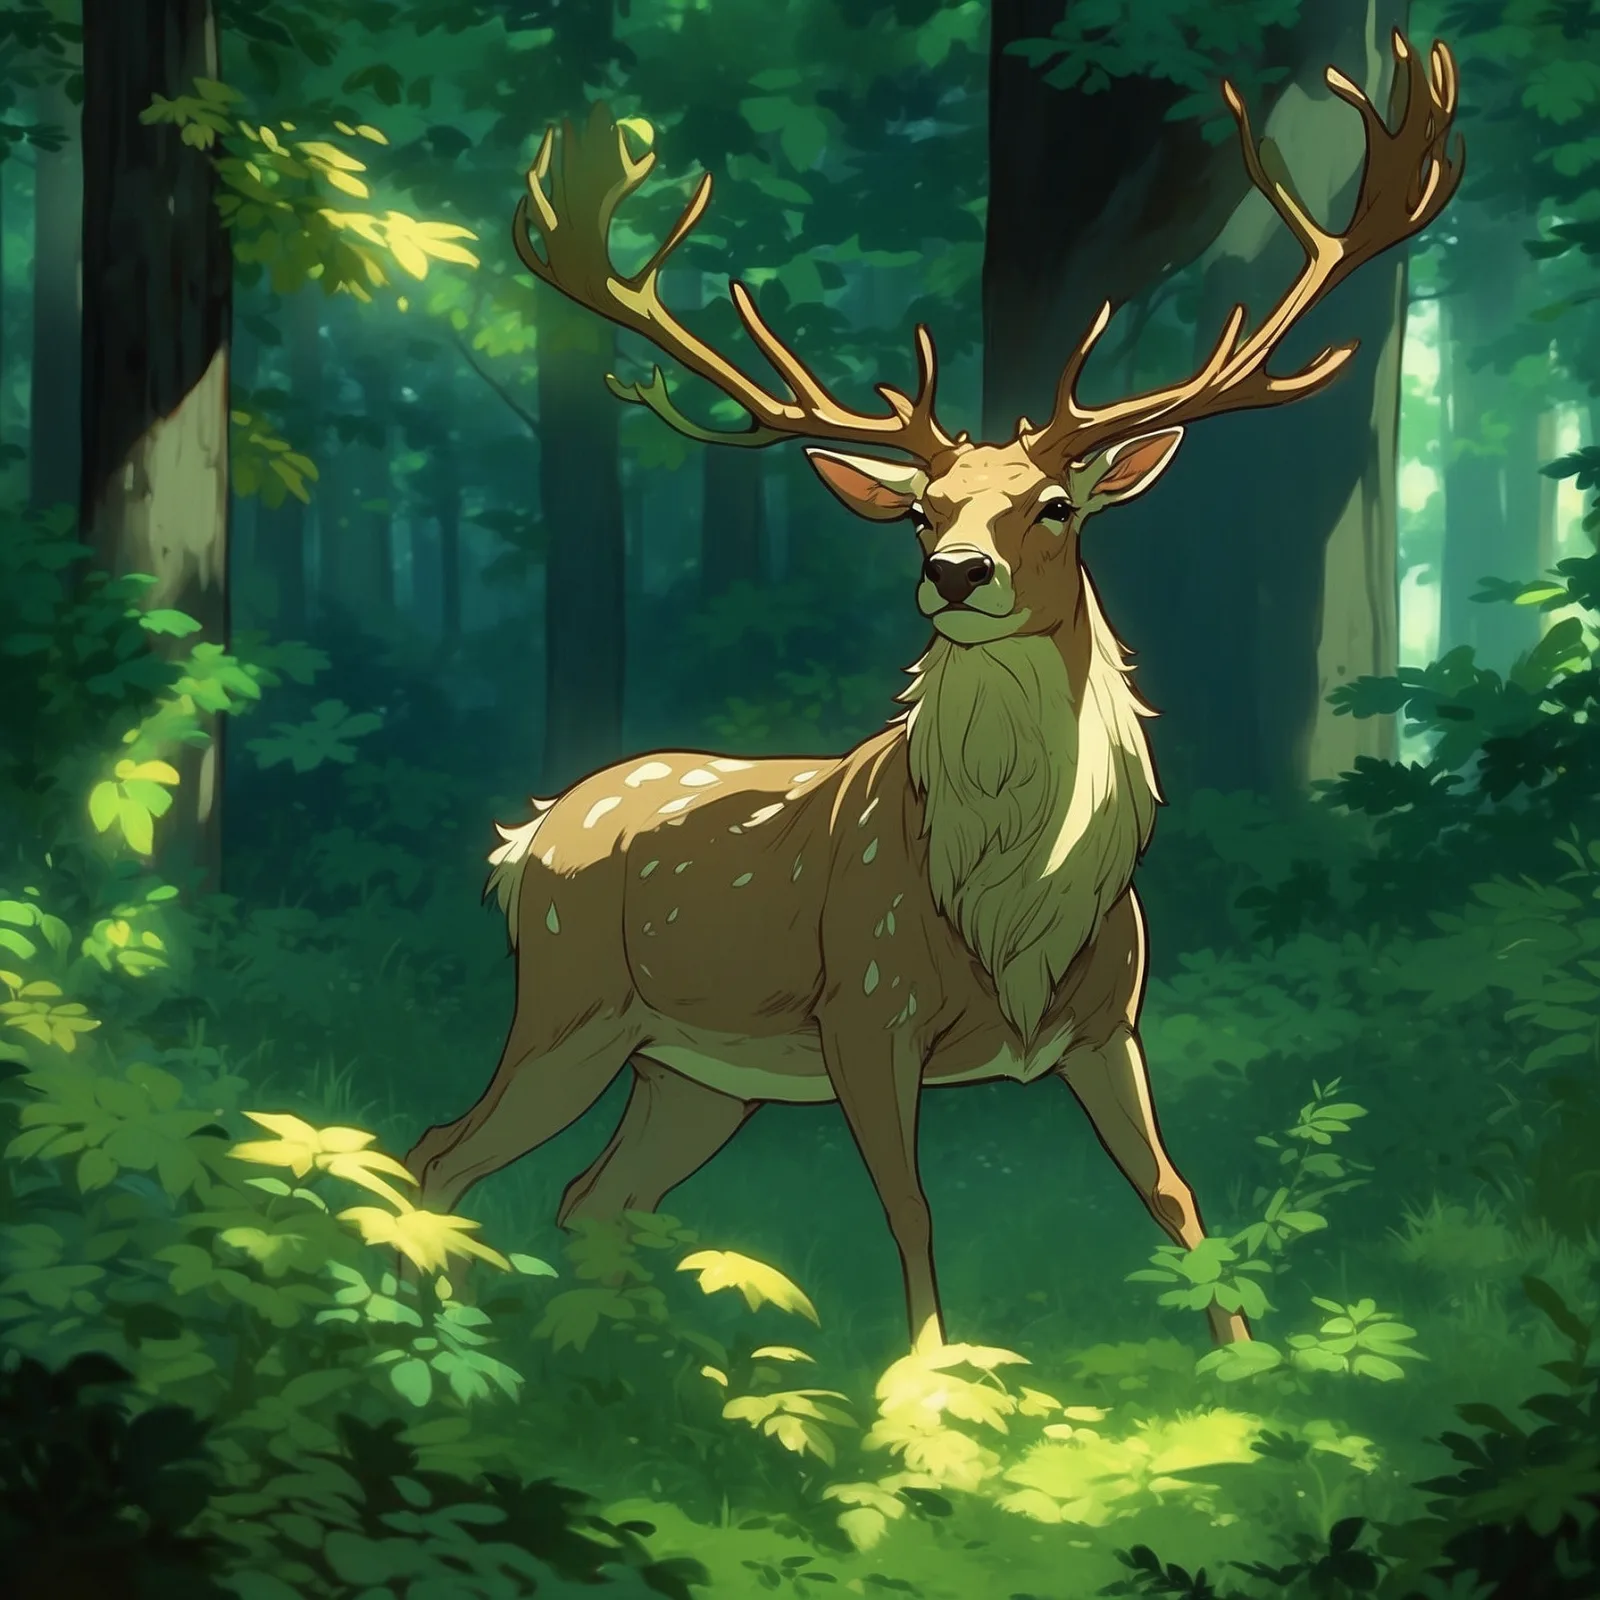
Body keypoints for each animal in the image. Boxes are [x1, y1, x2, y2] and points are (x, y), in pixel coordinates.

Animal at [406, 32, 1461, 1353]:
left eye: (1055, 506)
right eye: (920, 510)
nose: (955, 572)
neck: (1008, 914)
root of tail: (524, 839)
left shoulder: (1109, 1021)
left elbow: (1173, 1192)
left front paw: (1247, 1363)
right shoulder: (863, 1010)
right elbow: (909, 1211)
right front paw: (929, 1387)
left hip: (692, 1068)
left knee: (593, 1193)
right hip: (571, 999)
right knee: (444, 1152)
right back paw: (435, 1335)